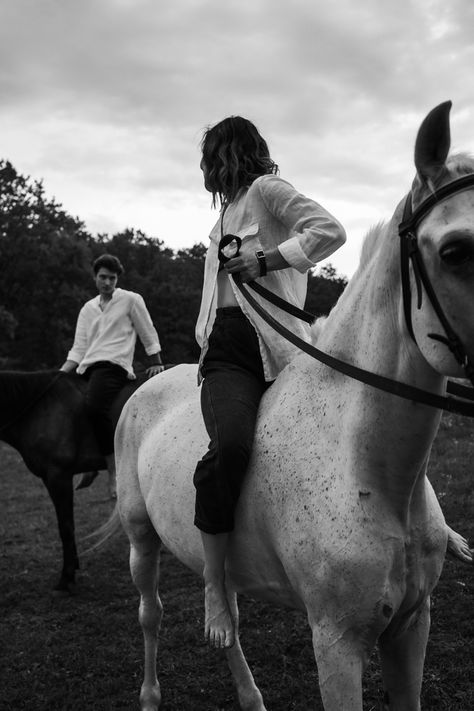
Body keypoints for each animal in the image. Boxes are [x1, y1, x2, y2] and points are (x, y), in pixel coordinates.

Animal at [114, 101, 474, 711]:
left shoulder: (411, 625)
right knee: (150, 614)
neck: (368, 469)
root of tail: (148, 384)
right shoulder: (335, 640)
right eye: (453, 252)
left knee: (227, 616)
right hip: (141, 538)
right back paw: (149, 695)